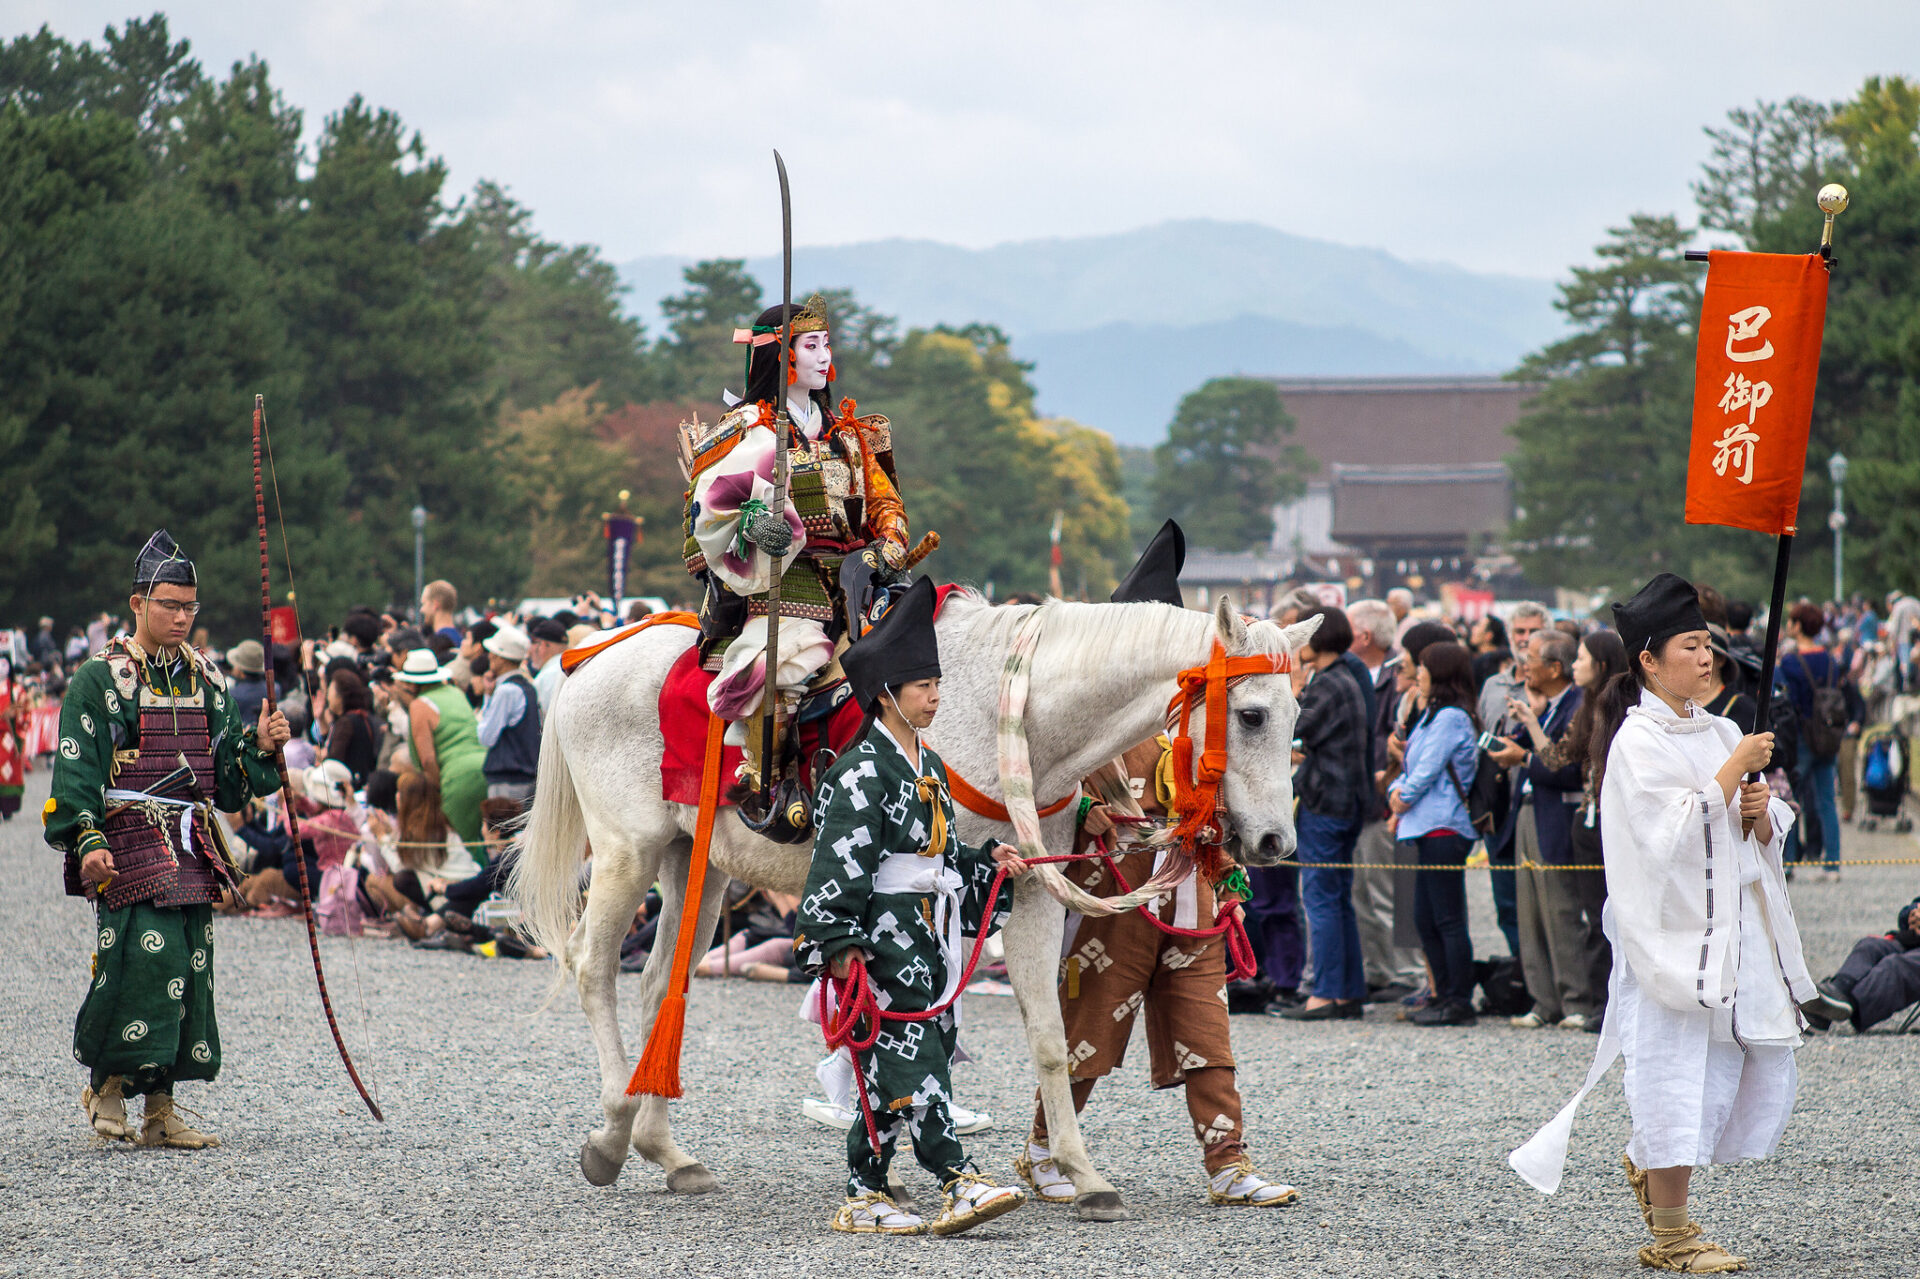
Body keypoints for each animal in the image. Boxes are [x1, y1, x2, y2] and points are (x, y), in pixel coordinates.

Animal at [510, 587, 1320, 1213]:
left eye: (1295, 719)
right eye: (1251, 716)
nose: (1275, 839)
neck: (1016, 717)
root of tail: (588, 660)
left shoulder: (1026, 884)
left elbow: (1050, 1036)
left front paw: (1082, 1174)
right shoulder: (949, 898)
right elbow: (912, 1024)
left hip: (697, 862)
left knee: (660, 984)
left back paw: (667, 1151)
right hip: (627, 849)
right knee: (591, 966)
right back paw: (613, 1132)